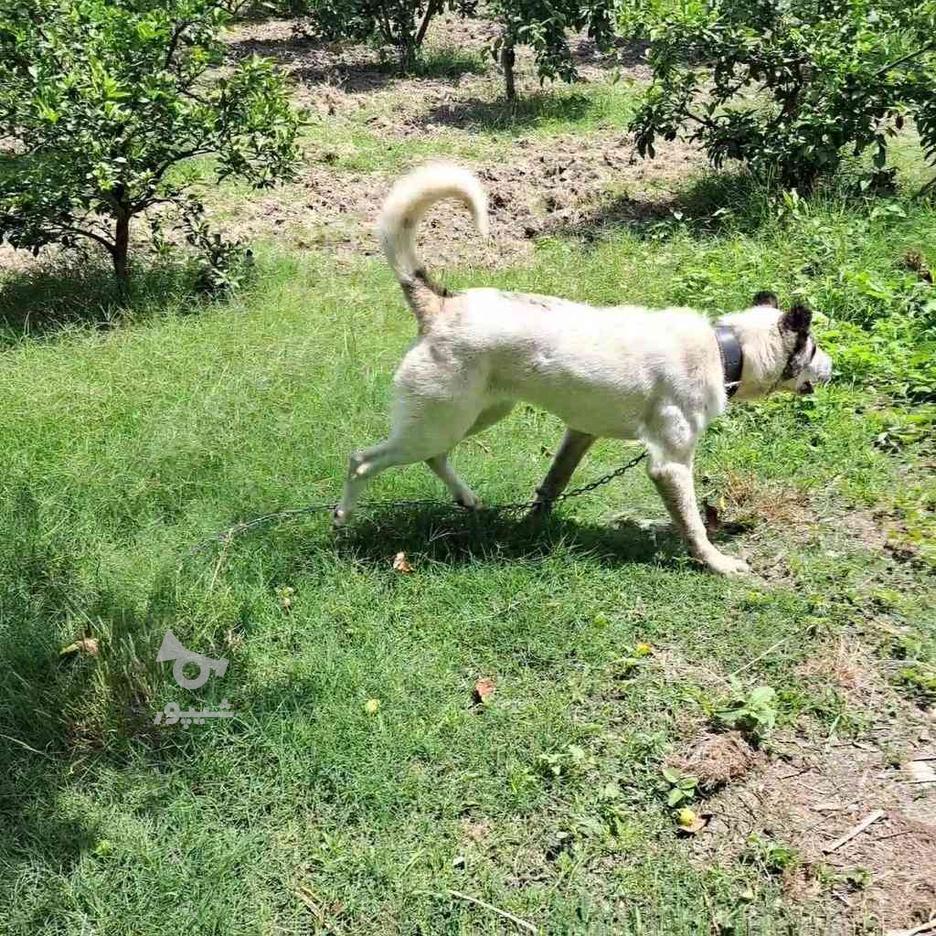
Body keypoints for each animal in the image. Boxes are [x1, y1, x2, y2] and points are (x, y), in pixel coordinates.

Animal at [336, 163, 832, 572]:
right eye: (815, 347)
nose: (833, 369)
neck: (726, 347)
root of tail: (439, 304)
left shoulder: (579, 433)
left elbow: (552, 484)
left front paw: (532, 528)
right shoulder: (669, 465)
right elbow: (693, 523)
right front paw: (716, 562)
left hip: (473, 414)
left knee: (435, 456)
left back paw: (467, 498)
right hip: (438, 421)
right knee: (362, 460)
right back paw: (342, 517)